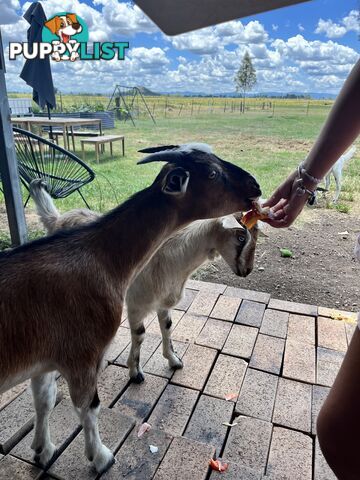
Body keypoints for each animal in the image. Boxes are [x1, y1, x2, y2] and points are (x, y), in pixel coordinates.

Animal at [0, 142, 260, 472]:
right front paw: (101, 456)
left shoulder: (43, 357)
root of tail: (58, 219)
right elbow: (91, 403)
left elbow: (44, 399)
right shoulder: (87, 348)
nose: (256, 187)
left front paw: (42, 450)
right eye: (213, 173)